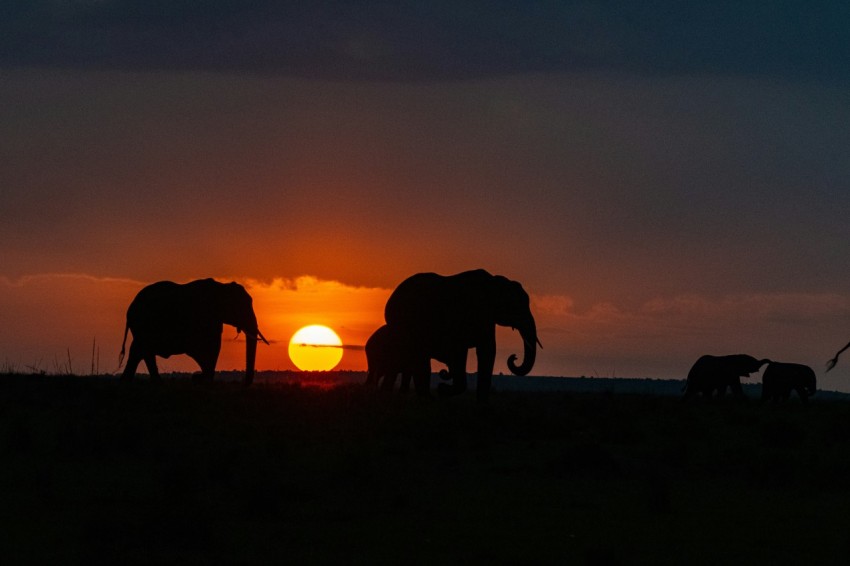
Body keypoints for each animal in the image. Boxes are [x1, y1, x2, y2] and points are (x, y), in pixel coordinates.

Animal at [117, 280, 266, 388]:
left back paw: (131, 382)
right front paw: (201, 378)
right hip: (143, 323)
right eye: (242, 307)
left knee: (140, 350)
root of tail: (131, 306)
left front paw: (200, 378)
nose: (244, 384)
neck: (222, 287)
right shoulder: (204, 318)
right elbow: (205, 348)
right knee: (142, 349)